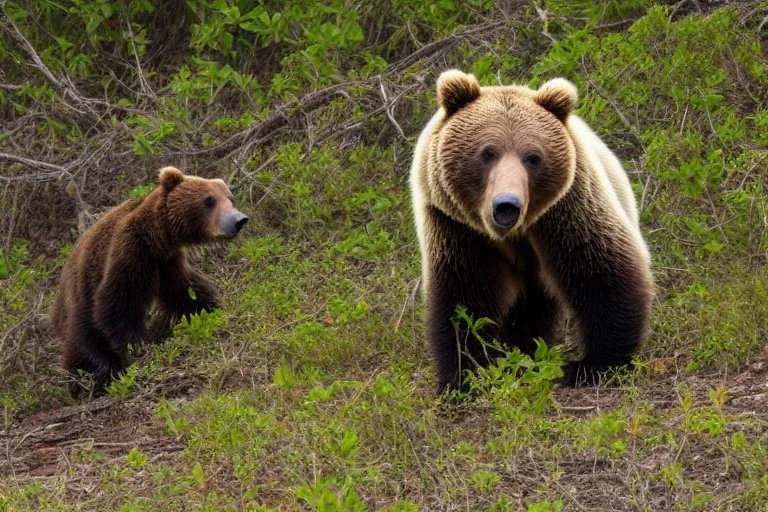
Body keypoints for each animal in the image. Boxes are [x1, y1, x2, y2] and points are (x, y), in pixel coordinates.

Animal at [51, 168, 248, 396]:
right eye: (210, 200)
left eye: (230, 198)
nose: (239, 220)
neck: (155, 238)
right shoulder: (129, 252)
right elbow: (118, 304)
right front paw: (138, 348)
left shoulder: (167, 263)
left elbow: (186, 293)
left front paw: (215, 309)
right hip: (78, 303)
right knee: (85, 346)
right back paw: (92, 380)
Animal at [408, 70, 656, 392]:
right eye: (488, 152)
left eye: (533, 157)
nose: (507, 204)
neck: (512, 235)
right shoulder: (456, 226)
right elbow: (464, 295)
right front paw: (463, 378)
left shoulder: (567, 210)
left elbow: (601, 272)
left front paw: (592, 365)